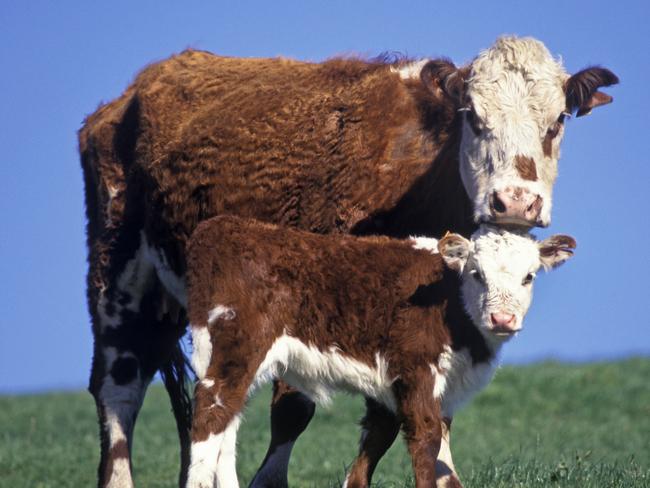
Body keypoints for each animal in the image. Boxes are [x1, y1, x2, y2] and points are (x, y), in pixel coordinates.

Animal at [185, 217, 576, 488]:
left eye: (529, 277)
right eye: (477, 274)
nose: (502, 319)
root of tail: (224, 226)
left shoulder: (405, 391)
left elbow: (394, 453)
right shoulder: (416, 371)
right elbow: (426, 440)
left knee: (229, 420)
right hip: (240, 347)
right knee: (211, 411)